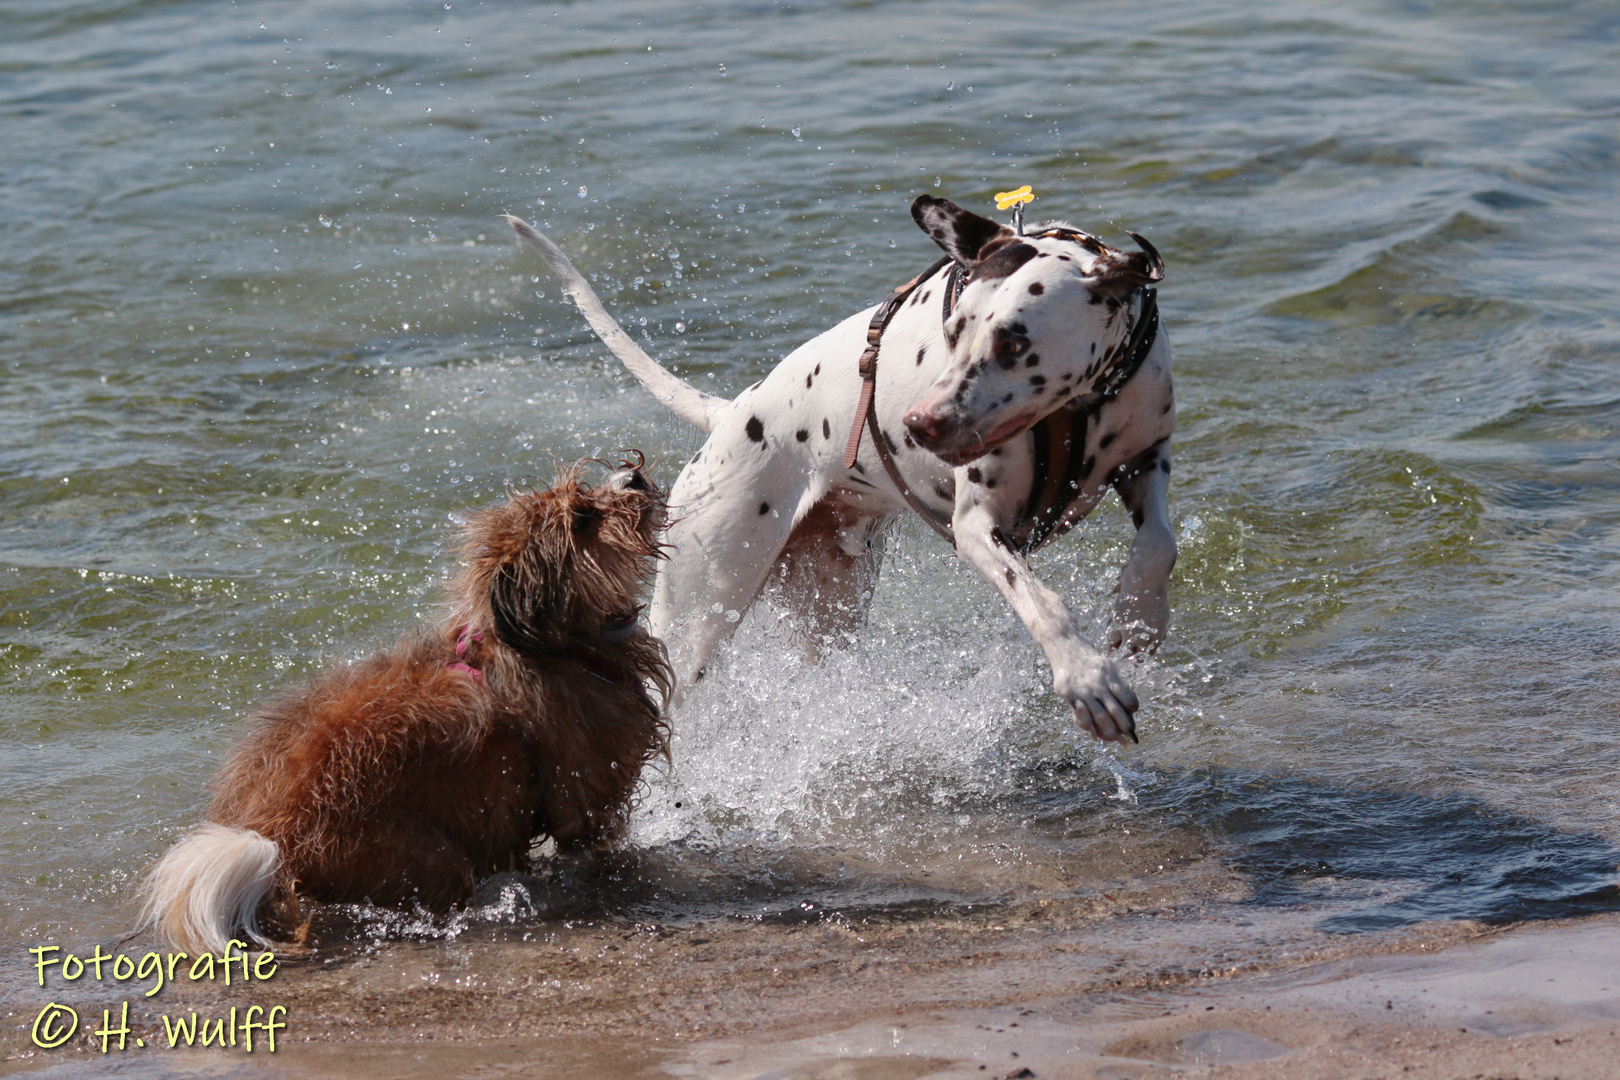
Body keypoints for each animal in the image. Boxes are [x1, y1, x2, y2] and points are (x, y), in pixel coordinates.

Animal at [139, 459, 667, 952]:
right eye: (582, 517)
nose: (632, 476)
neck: (553, 642)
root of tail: (271, 836)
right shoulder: (586, 798)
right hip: (429, 859)